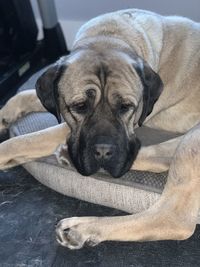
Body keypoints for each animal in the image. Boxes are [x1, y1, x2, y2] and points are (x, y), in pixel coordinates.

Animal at [0, 8, 200, 250]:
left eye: (126, 107)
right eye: (79, 106)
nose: (104, 152)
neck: (109, 35)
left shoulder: (65, 129)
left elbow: (21, 141)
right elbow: (24, 95)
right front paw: (4, 115)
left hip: (192, 141)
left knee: (172, 217)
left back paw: (81, 228)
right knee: (159, 157)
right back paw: (68, 156)